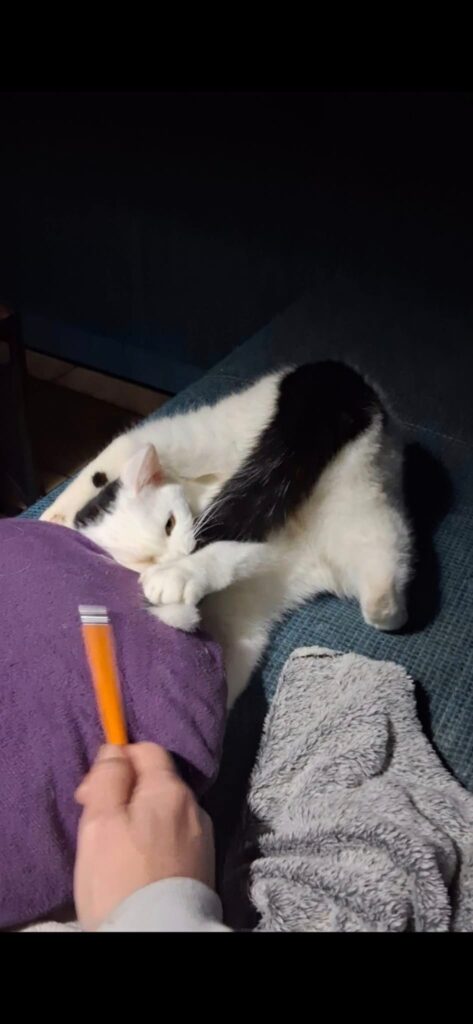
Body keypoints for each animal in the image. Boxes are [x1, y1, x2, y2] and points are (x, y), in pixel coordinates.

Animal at [41, 362, 412, 707]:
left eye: (169, 524)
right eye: (142, 559)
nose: (178, 556)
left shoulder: (251, 538)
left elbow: (222, 553)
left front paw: (176, 576)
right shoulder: (245, 600)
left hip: (213, 436)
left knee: (127, 446)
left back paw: (56, 513)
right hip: (355, 519)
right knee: (381, 566)